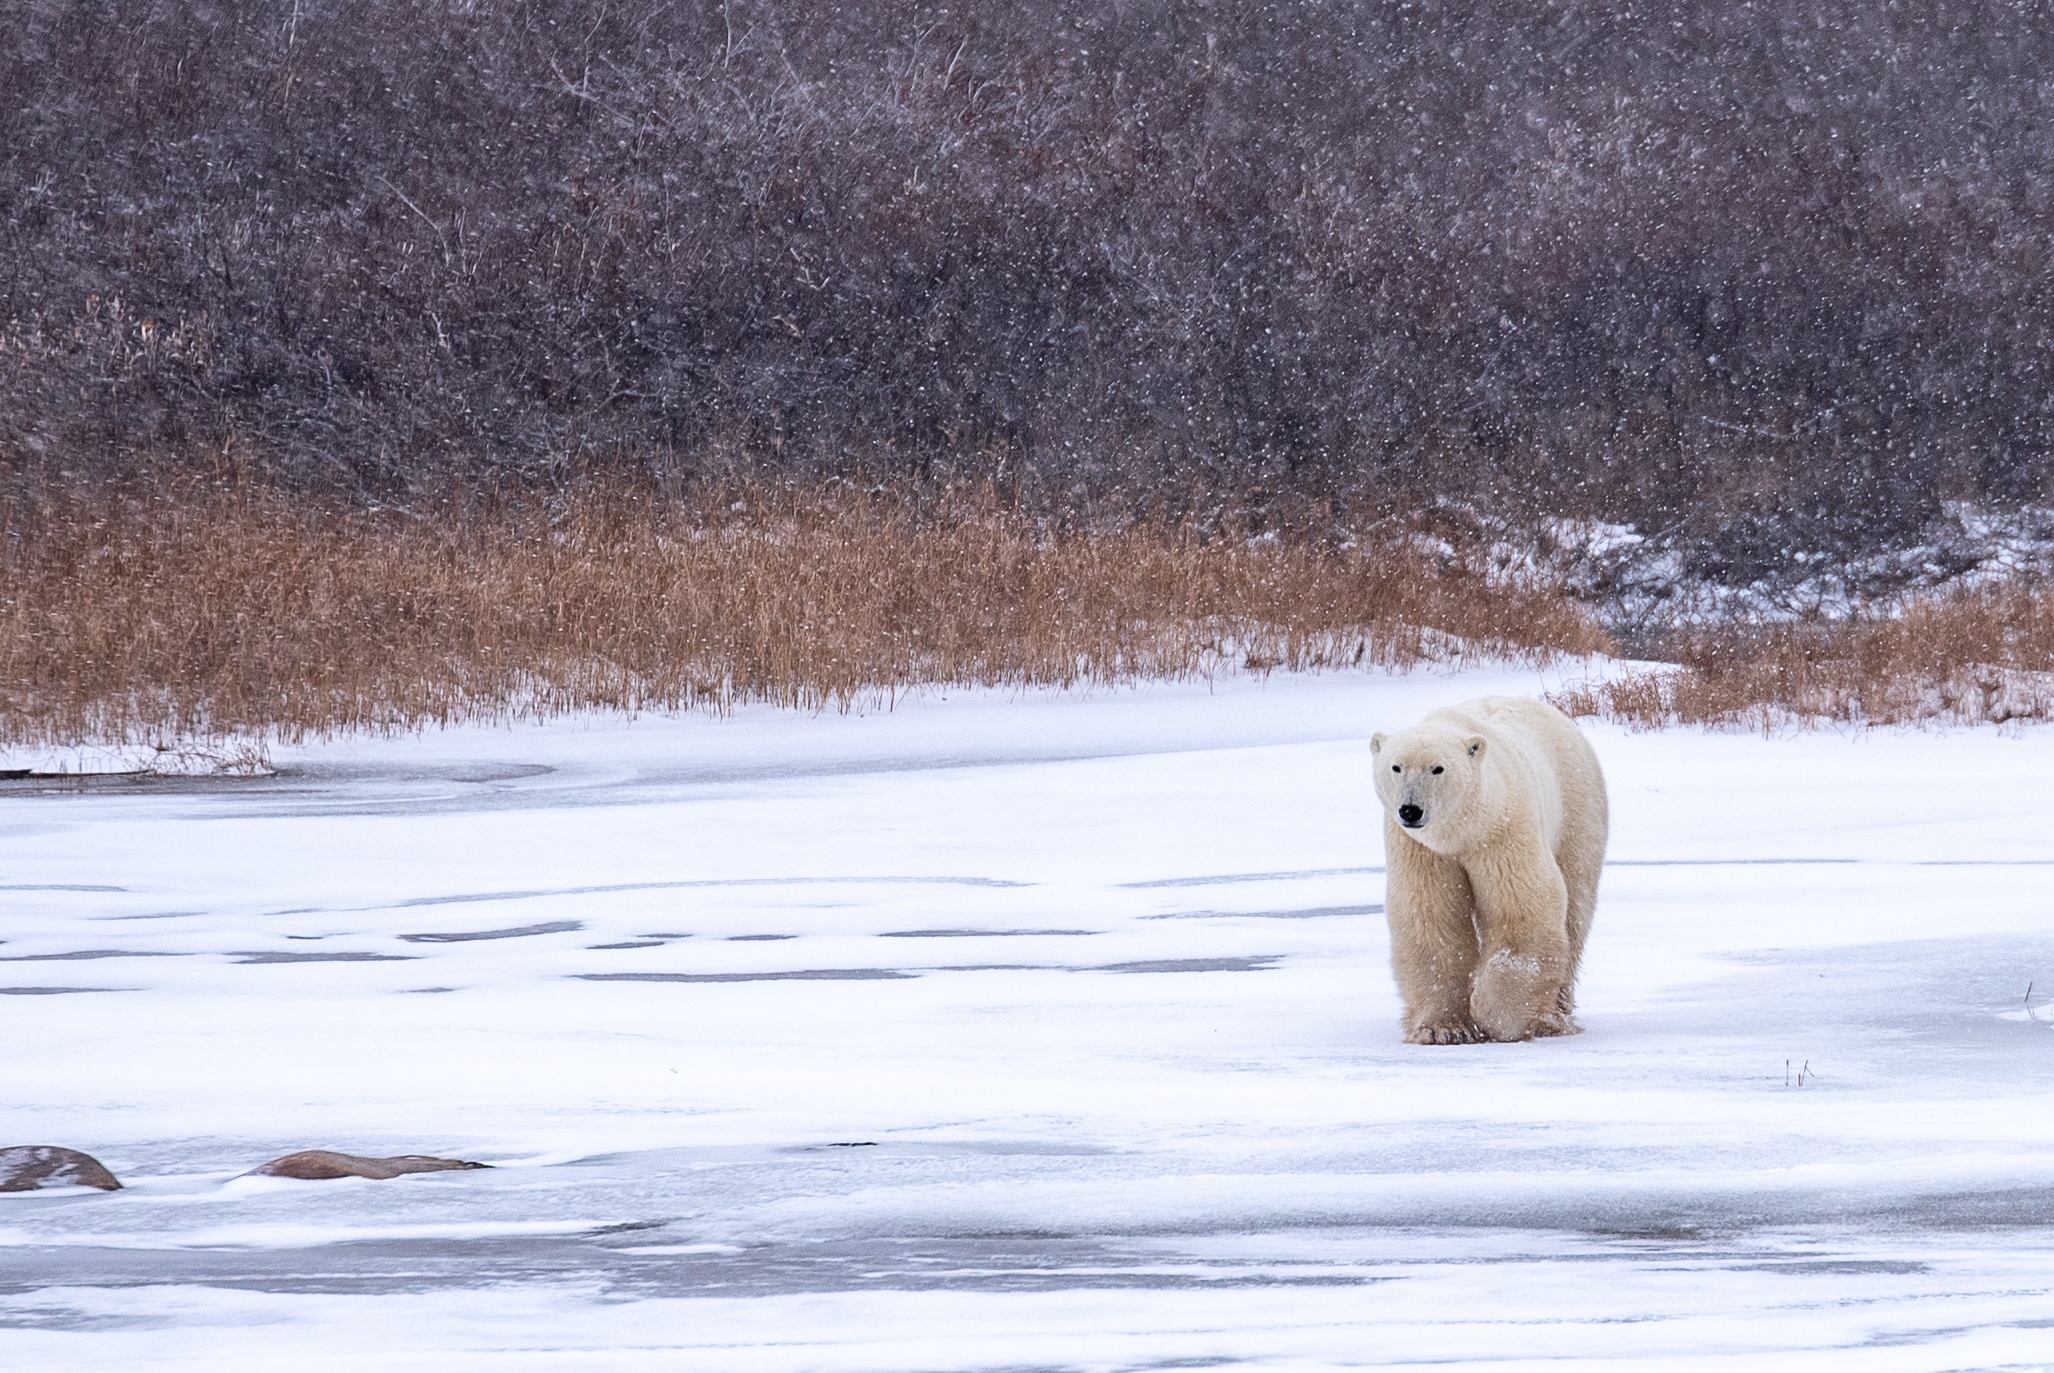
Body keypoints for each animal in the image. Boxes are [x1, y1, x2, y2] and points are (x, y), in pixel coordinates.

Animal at [1369, 695, 1607, 1044]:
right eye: (1396, 766)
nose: (1411, 810)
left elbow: (1520, 908)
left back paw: (1552, 1017)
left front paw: (1497, 1015)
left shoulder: (1502, 829)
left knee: (1576, 905)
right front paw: (1444, 1028)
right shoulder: (1421, 850)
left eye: (1437, 768)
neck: (1462, 833)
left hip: (1576, 808)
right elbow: (1431, 916)